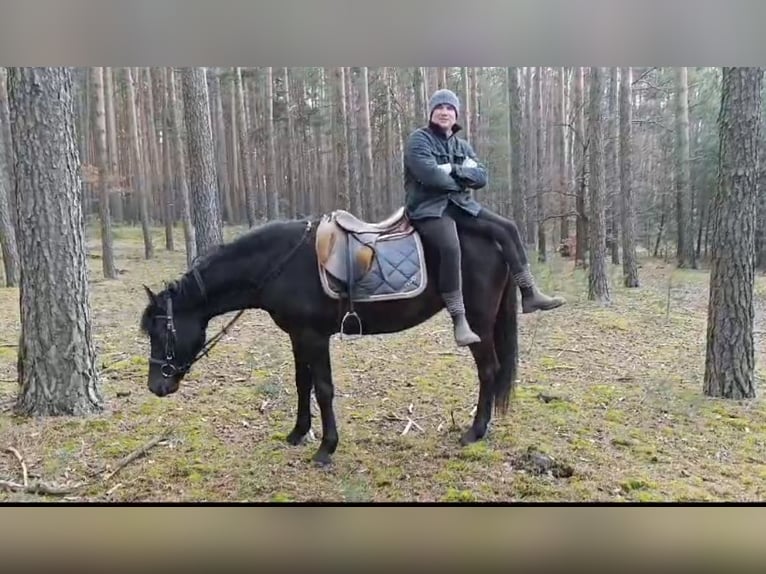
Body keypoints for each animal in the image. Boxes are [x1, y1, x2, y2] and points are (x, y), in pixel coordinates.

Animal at [140, 212, 520, 468]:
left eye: (161, 332)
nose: (156, 386)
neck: (279, 263)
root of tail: (494, 241)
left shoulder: (315, 337)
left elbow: (323, 389)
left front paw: (326, 448)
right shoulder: (298, 336)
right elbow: (302, 383)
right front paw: (297, 433)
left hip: (478, 323)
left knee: (488, 370)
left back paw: (475, 431)